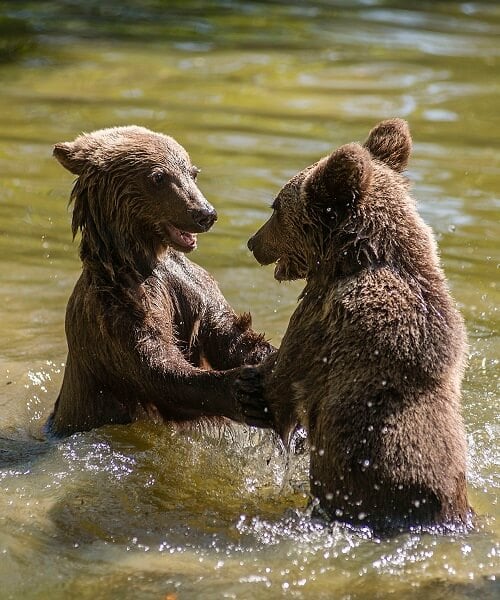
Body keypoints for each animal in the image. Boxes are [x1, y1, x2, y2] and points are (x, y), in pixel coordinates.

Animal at [47, 125, 274, 436]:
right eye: (158, 176)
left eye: (192, 172)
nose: (205, 214)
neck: (143, 257)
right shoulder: (114, 309)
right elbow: (155, 365)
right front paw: (241, 389)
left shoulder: (191, 285)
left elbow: (228, 333)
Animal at [238, 118, 472, 536]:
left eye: (276, 207)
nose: (252, 242)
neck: (353, 259)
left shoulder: (318, 325)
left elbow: (282, 382)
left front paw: (251, 381)